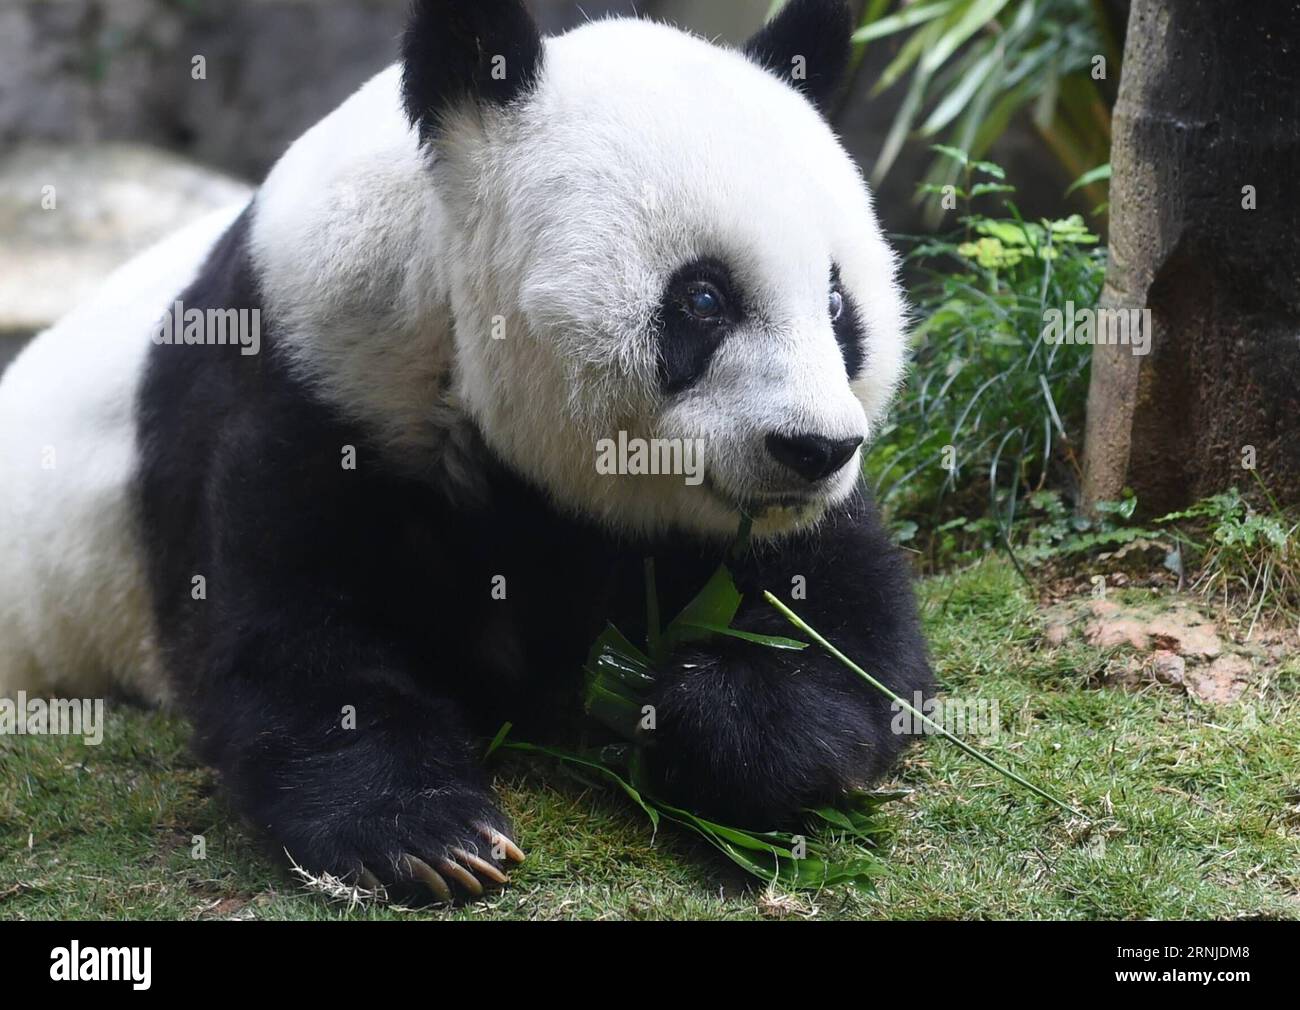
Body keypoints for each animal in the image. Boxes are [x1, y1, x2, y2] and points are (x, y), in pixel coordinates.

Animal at [0, 0, 931, 901]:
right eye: (704, 298)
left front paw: (714, 712)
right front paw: (427, 835)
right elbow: (288, 642)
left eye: (839, 304)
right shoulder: (316, 384)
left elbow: (853, 637)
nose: (814, 448)